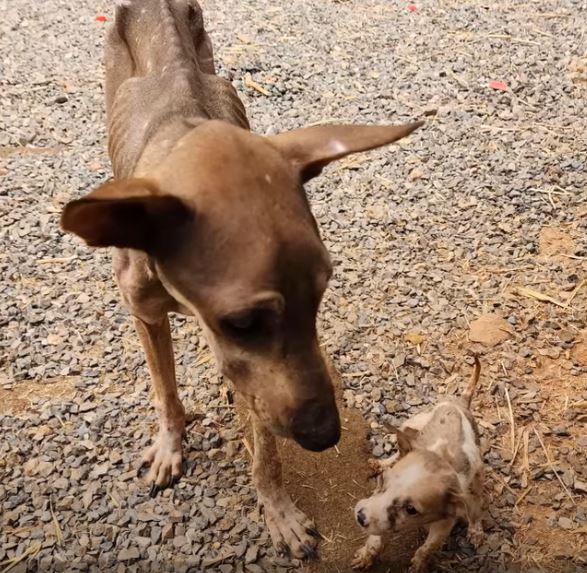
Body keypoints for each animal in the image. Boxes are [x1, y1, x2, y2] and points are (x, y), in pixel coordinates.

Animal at [352, 358, 484, 572]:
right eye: (383, 481)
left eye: (411, 510)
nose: (360, 517)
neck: (439, 456)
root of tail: (460, 402)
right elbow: (375, 538)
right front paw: (366, 555)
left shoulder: (444, 524)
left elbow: (427, 548)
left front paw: (418, 564)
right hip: (410, 423)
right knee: (399, 449)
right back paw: (381, 462)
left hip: (479, 471)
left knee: (477, 502)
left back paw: (476, 530)